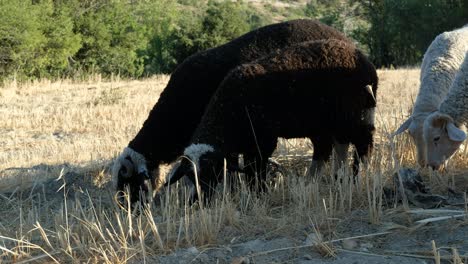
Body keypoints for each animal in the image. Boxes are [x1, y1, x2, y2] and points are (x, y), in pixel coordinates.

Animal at [166, 38, 378, 201]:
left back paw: (362, 176)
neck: (228, 113)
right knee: (332, 147)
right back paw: (323, 180)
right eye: (190, 176)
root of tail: (366, 63)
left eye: (211, 172)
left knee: (362, 144)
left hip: (354, 115)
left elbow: (256, 169)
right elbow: (248, 168)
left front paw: (259, 192)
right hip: (326, 122)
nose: (198, 200)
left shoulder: (262, 141)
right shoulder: (247, 144)